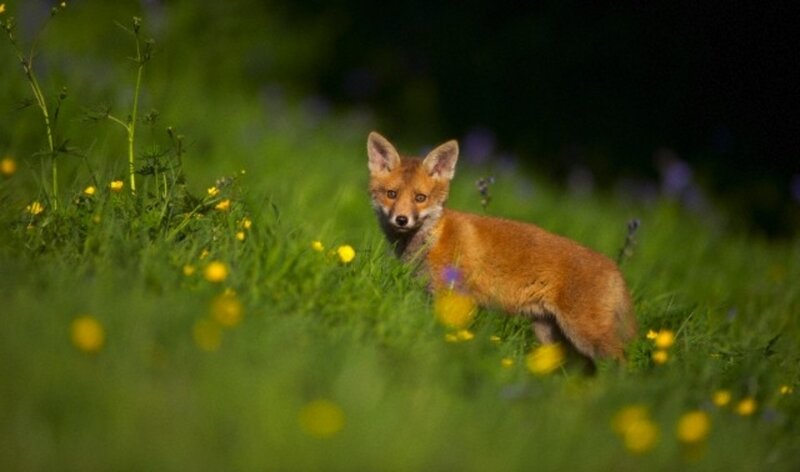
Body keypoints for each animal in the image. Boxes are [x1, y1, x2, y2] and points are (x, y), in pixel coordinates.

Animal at [367, 131, 636, 370]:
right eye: (391, 194)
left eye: (420, 198)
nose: (402, 220)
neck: (429, 243)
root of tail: (615, 267)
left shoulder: (450, 295)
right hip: (552, 335)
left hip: (585, 335)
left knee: (622, 363)